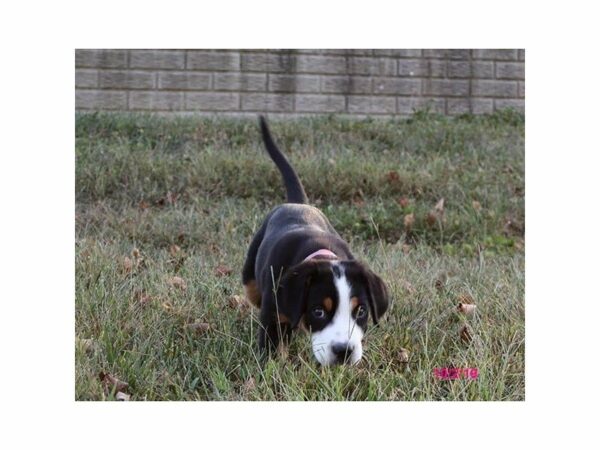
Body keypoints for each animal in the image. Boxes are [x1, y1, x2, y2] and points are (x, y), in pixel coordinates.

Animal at [244, 117, 390, 366]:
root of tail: (298, 203)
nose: (344, 351)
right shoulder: (273, 319)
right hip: (250, 278)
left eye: (361, 312)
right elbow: (273, 353)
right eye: (319, 311)